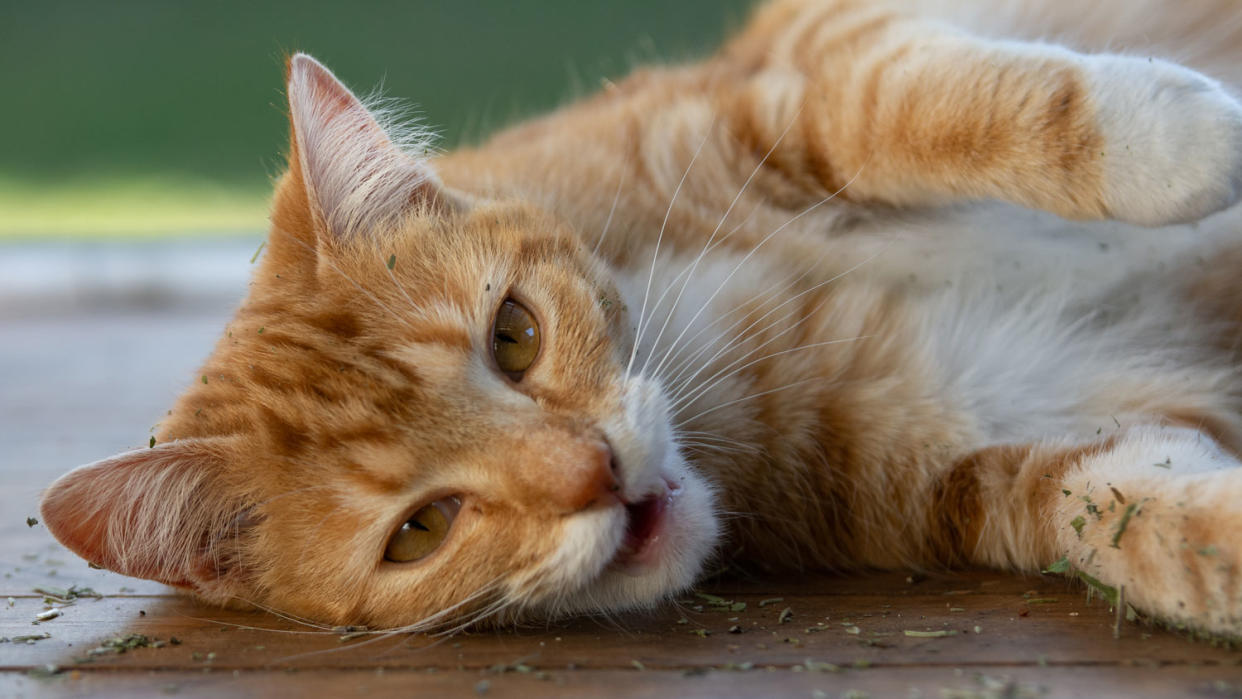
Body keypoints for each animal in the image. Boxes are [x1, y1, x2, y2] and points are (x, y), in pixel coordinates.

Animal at [38, 0, 1242, 640]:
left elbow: (939, 108)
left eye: (513, 334)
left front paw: (1195, 142)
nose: (597, 472)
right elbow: (1151, 524)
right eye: (421, 529)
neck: (714, 332)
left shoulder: (803, 67)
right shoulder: (1027, 435)